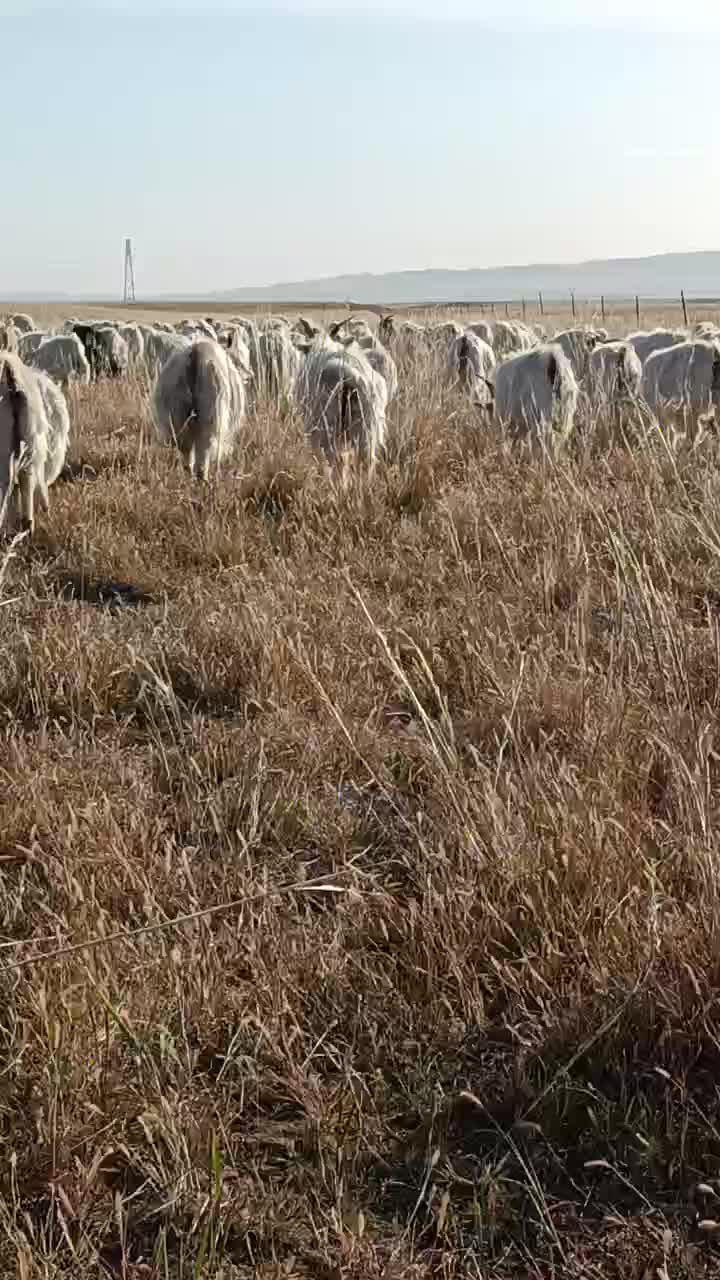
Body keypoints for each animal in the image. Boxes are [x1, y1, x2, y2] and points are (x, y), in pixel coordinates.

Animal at [151, 340, 245, 481]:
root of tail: (196, 354)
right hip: (211, 414)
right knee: (203, 451)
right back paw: (204, 479)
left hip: (178, 412)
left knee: (186, 451)